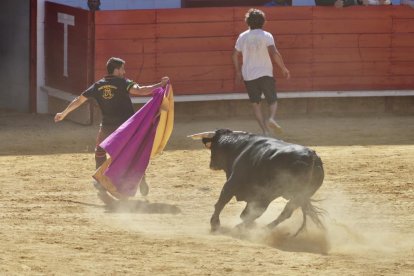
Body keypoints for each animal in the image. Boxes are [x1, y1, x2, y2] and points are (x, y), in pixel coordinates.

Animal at [189, 129, 326, 235]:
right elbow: (248, 212)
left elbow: (221, 202)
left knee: (275, 212)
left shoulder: (232, 183)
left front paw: (215, 224)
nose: (211, 165)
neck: (237, 146)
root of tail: (311, 156)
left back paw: (252, 228)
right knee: (287, 212)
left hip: (272, 192)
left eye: (213, 148)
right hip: (298, 196)